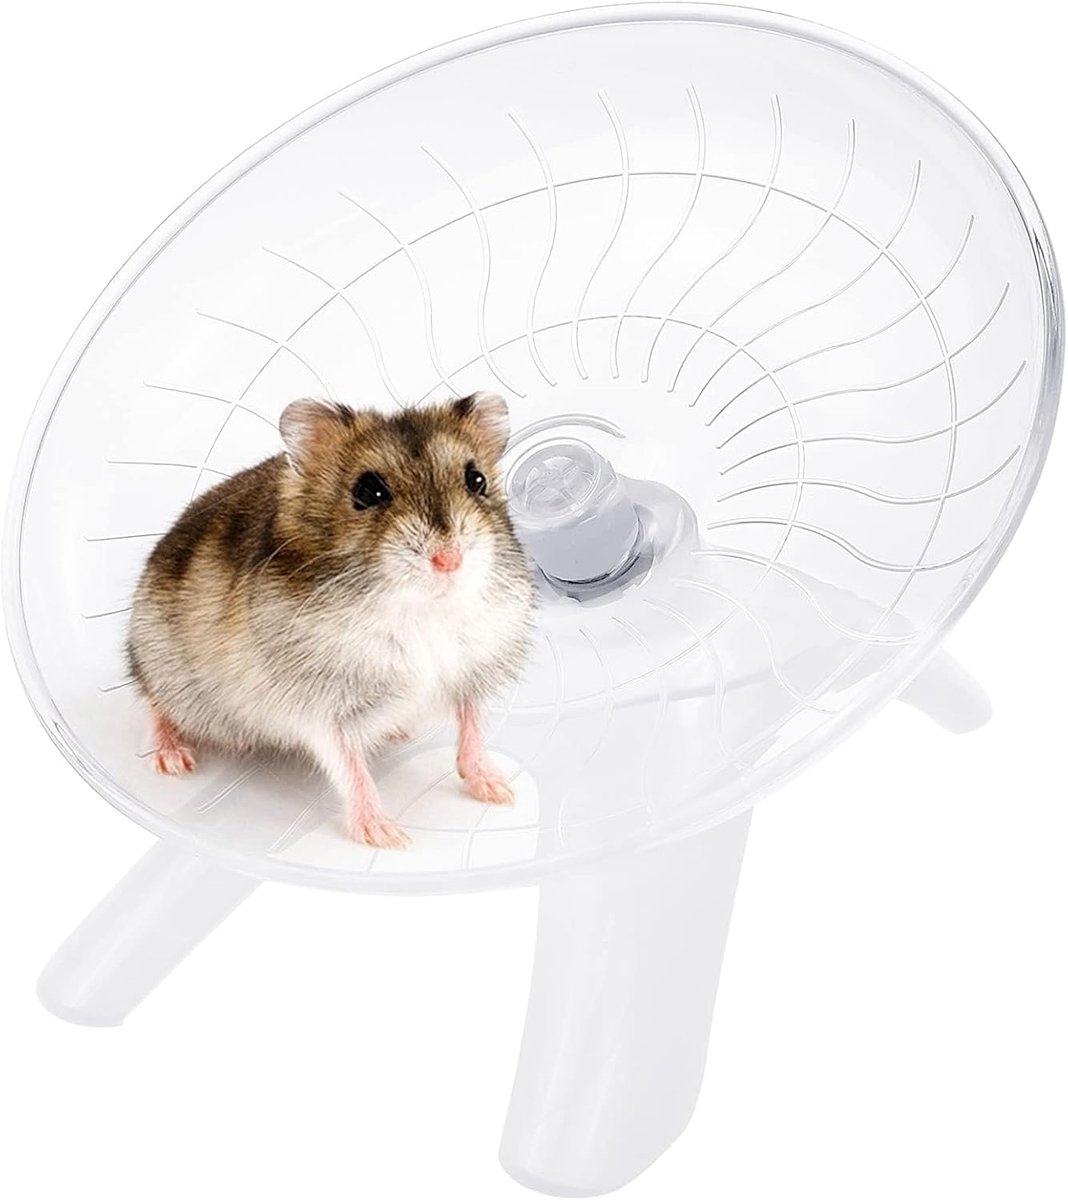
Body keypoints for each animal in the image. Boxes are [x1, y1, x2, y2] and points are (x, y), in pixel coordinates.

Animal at [126, 391, 537, 850]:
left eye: (476, 480)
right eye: (368, 491)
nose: (449, 561)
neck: (420, 609)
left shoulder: (470, 673)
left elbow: (472, 729)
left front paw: (500, 791)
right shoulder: (320, 710)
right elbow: (350, 766)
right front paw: (386, 837)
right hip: (162, 663)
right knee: (155, 703)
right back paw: (172, 759)